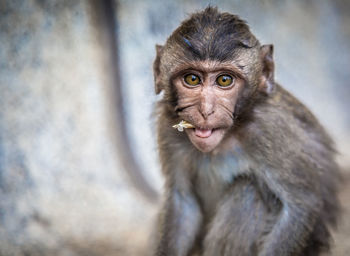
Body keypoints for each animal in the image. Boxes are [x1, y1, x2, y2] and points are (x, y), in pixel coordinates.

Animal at [152, 6, 340, 256]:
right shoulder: (168, 128)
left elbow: (301, 206)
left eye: (224, 80)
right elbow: (183, 201)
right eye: (192, 79)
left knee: (248, 191)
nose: (206, 110)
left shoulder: (268, 128)